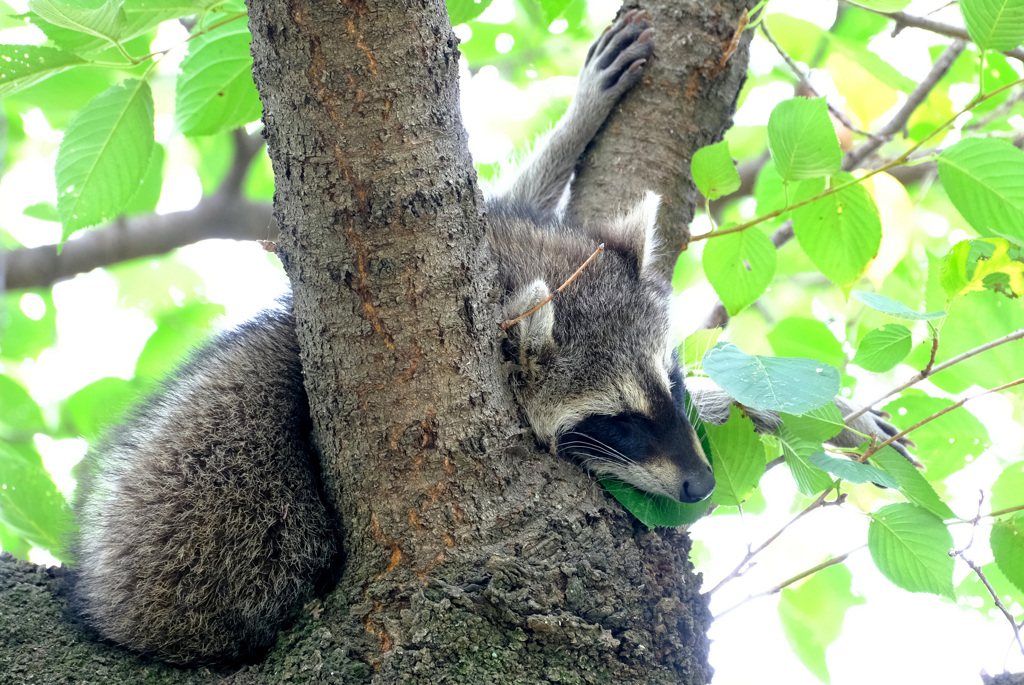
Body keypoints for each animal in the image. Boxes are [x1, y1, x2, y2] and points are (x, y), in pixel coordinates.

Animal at [72, 12, 905, 663]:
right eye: (617, 422)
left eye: (666, 380)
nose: (700, 485)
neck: (510, 271)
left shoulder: (495, 240)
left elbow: (507, 193)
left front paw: (576, 122)